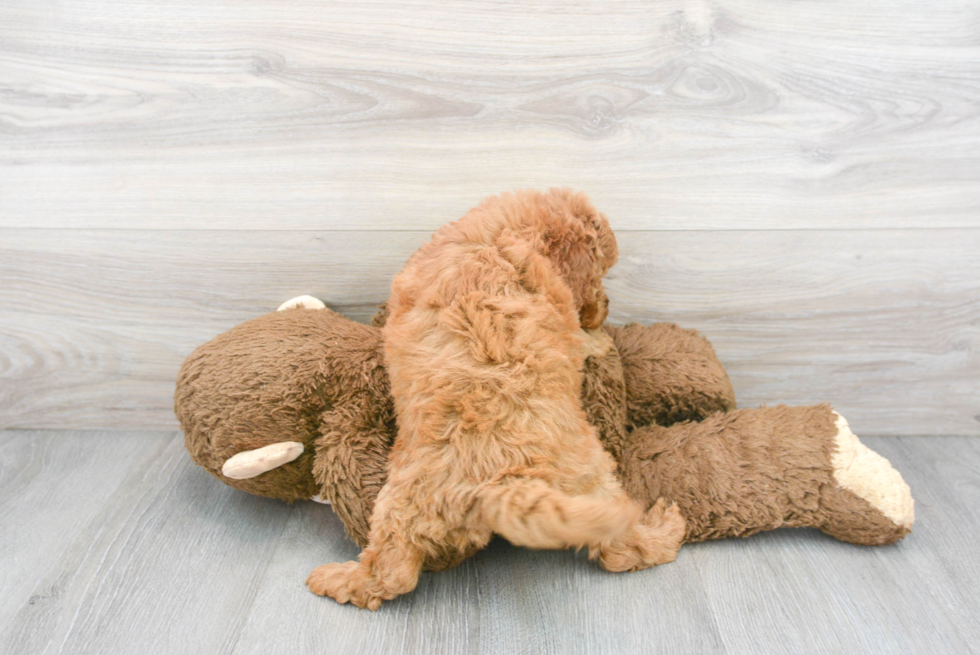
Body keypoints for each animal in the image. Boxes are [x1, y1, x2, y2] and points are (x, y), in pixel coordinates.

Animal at [306, 187, 680, 608]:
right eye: (601, 272)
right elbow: (583, 338)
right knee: (624, 550)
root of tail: (502, 482)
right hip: (592, 481)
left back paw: (336, 579)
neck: (500, 233)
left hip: (400, 502)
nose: (605, 310)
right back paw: (666, 527)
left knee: (390, 572)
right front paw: (599, 338)